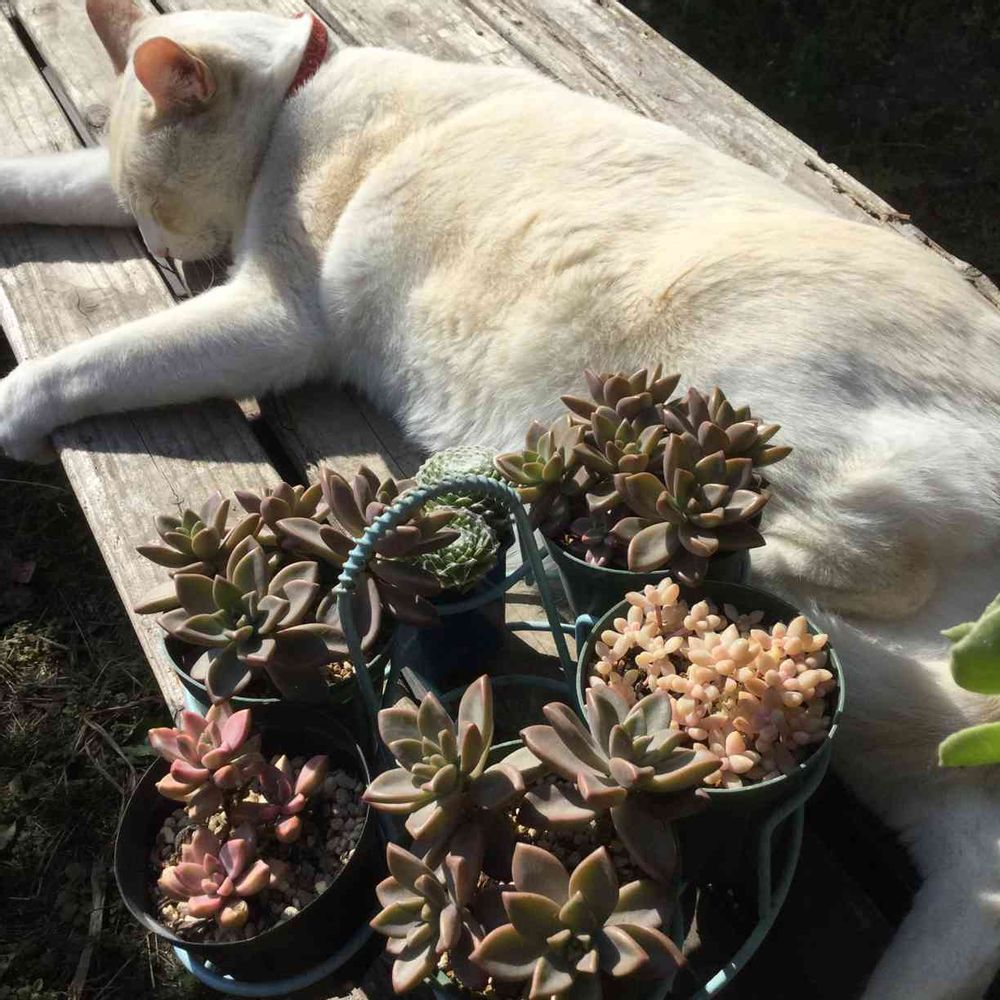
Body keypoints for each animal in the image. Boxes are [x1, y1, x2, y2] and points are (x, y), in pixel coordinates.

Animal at [1, 1, 999, 995]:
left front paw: (15, 410)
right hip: (904, 721)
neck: (304, 90)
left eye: (155, 205)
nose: (161, 246)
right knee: (974, 856)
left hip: (756, 442)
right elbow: (52, 177)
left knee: (841, 570)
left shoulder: (273, 316)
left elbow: (93, 361)